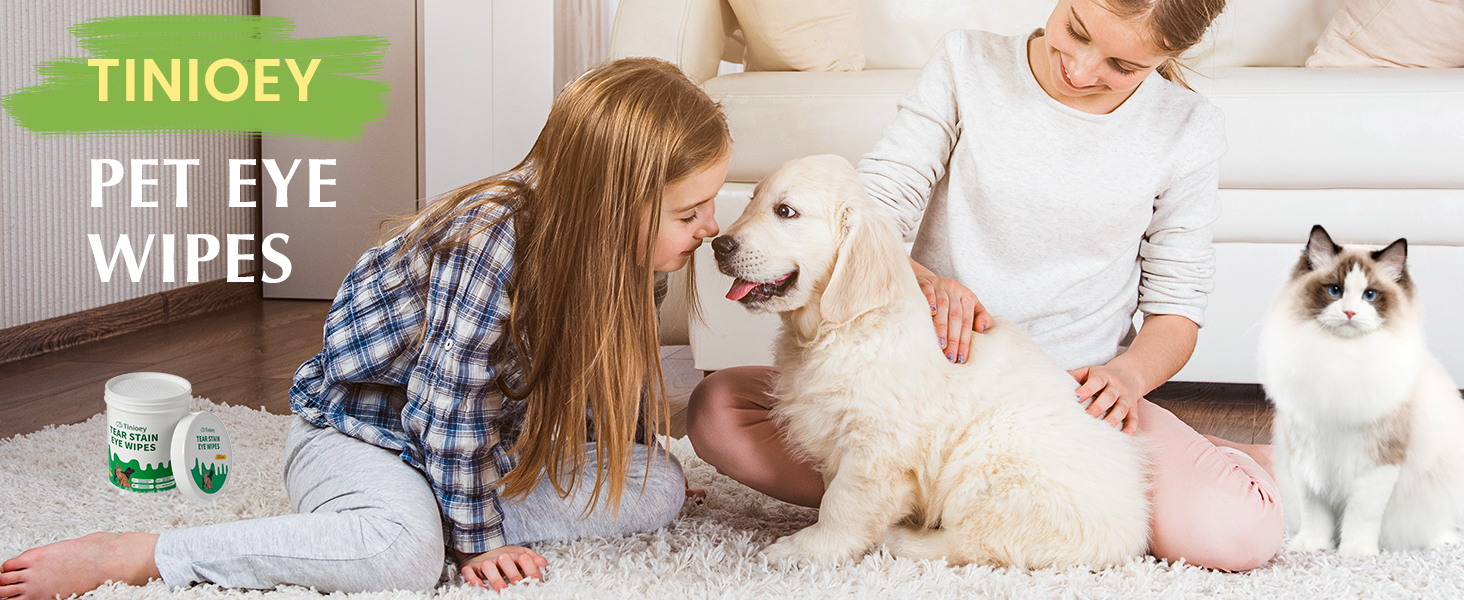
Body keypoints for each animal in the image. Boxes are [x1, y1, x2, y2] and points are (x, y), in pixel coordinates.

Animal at [711, 153, 1153, 567]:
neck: (845, 328)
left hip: (989, 457)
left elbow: (842, 503)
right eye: (751, 200)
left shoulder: (878, 447)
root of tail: (1130, 538)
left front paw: (805, 549)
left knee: (981, 543)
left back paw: (903, 541)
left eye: (786, 211)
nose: (718, 244)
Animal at [1259, 226, 1464, 559]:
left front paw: (1355, 552)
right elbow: (1314, 511)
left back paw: (1442, 542)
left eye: (1370, 295)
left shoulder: (1378, 461)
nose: (1350, 313)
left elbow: (1361, 513)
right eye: (1335, 290)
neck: (1342, 360)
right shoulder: (1307, 454)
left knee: (1441, 525)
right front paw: (1314, 546)